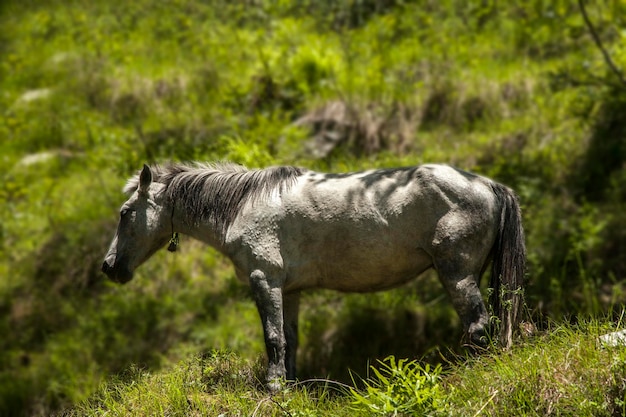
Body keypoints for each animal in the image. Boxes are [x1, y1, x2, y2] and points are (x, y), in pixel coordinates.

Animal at [101, 161, 520, 388]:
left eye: (124, 213)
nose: (108, 266)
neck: (244, 205)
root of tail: (489, 185)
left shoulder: (264, 280)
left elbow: (272, 337)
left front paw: (273, 387)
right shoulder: (290, 291)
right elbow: (289, 340)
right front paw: (290, 384)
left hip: (457, 273)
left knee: (478, 326)